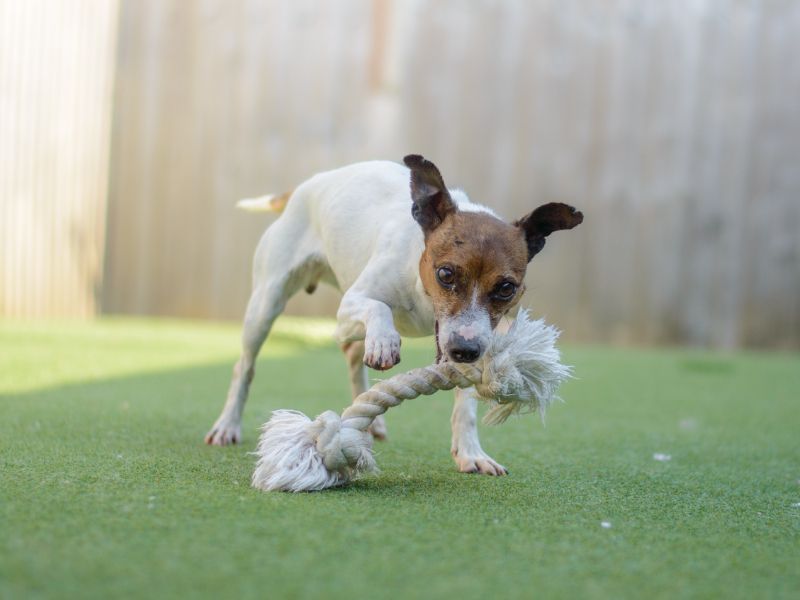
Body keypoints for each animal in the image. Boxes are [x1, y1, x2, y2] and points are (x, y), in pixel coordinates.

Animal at [206, 157, 580, 476]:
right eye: (446, 274)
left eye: (506, 287)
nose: (464, 350)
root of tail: (305, 186)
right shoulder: (352, 304)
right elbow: (379, 307)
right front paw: (386, 342)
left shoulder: (485, 339)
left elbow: (466, 404)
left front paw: (470, 453)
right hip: (266, 304)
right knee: (244, 366)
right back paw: (227, 425)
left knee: (352, 355)